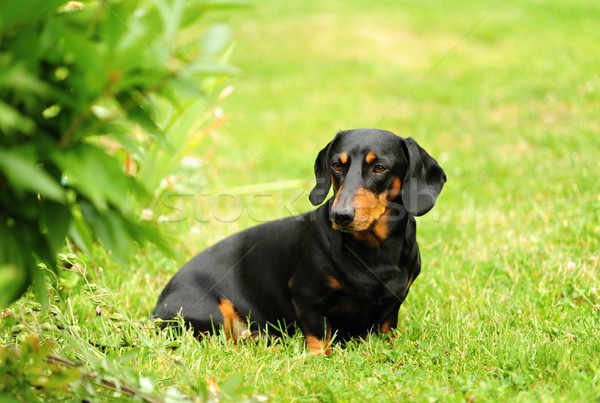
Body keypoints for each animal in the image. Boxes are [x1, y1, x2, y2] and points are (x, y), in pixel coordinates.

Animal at [155, 128, 446, 356]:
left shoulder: (393, 303)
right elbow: (318, 333)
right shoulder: (306, 294)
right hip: (208, 311)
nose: (340, 216)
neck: (374, 251)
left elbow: (386, 329)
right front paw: (320, 357)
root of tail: (156, 309)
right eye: (336, 165)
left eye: (379, 167)